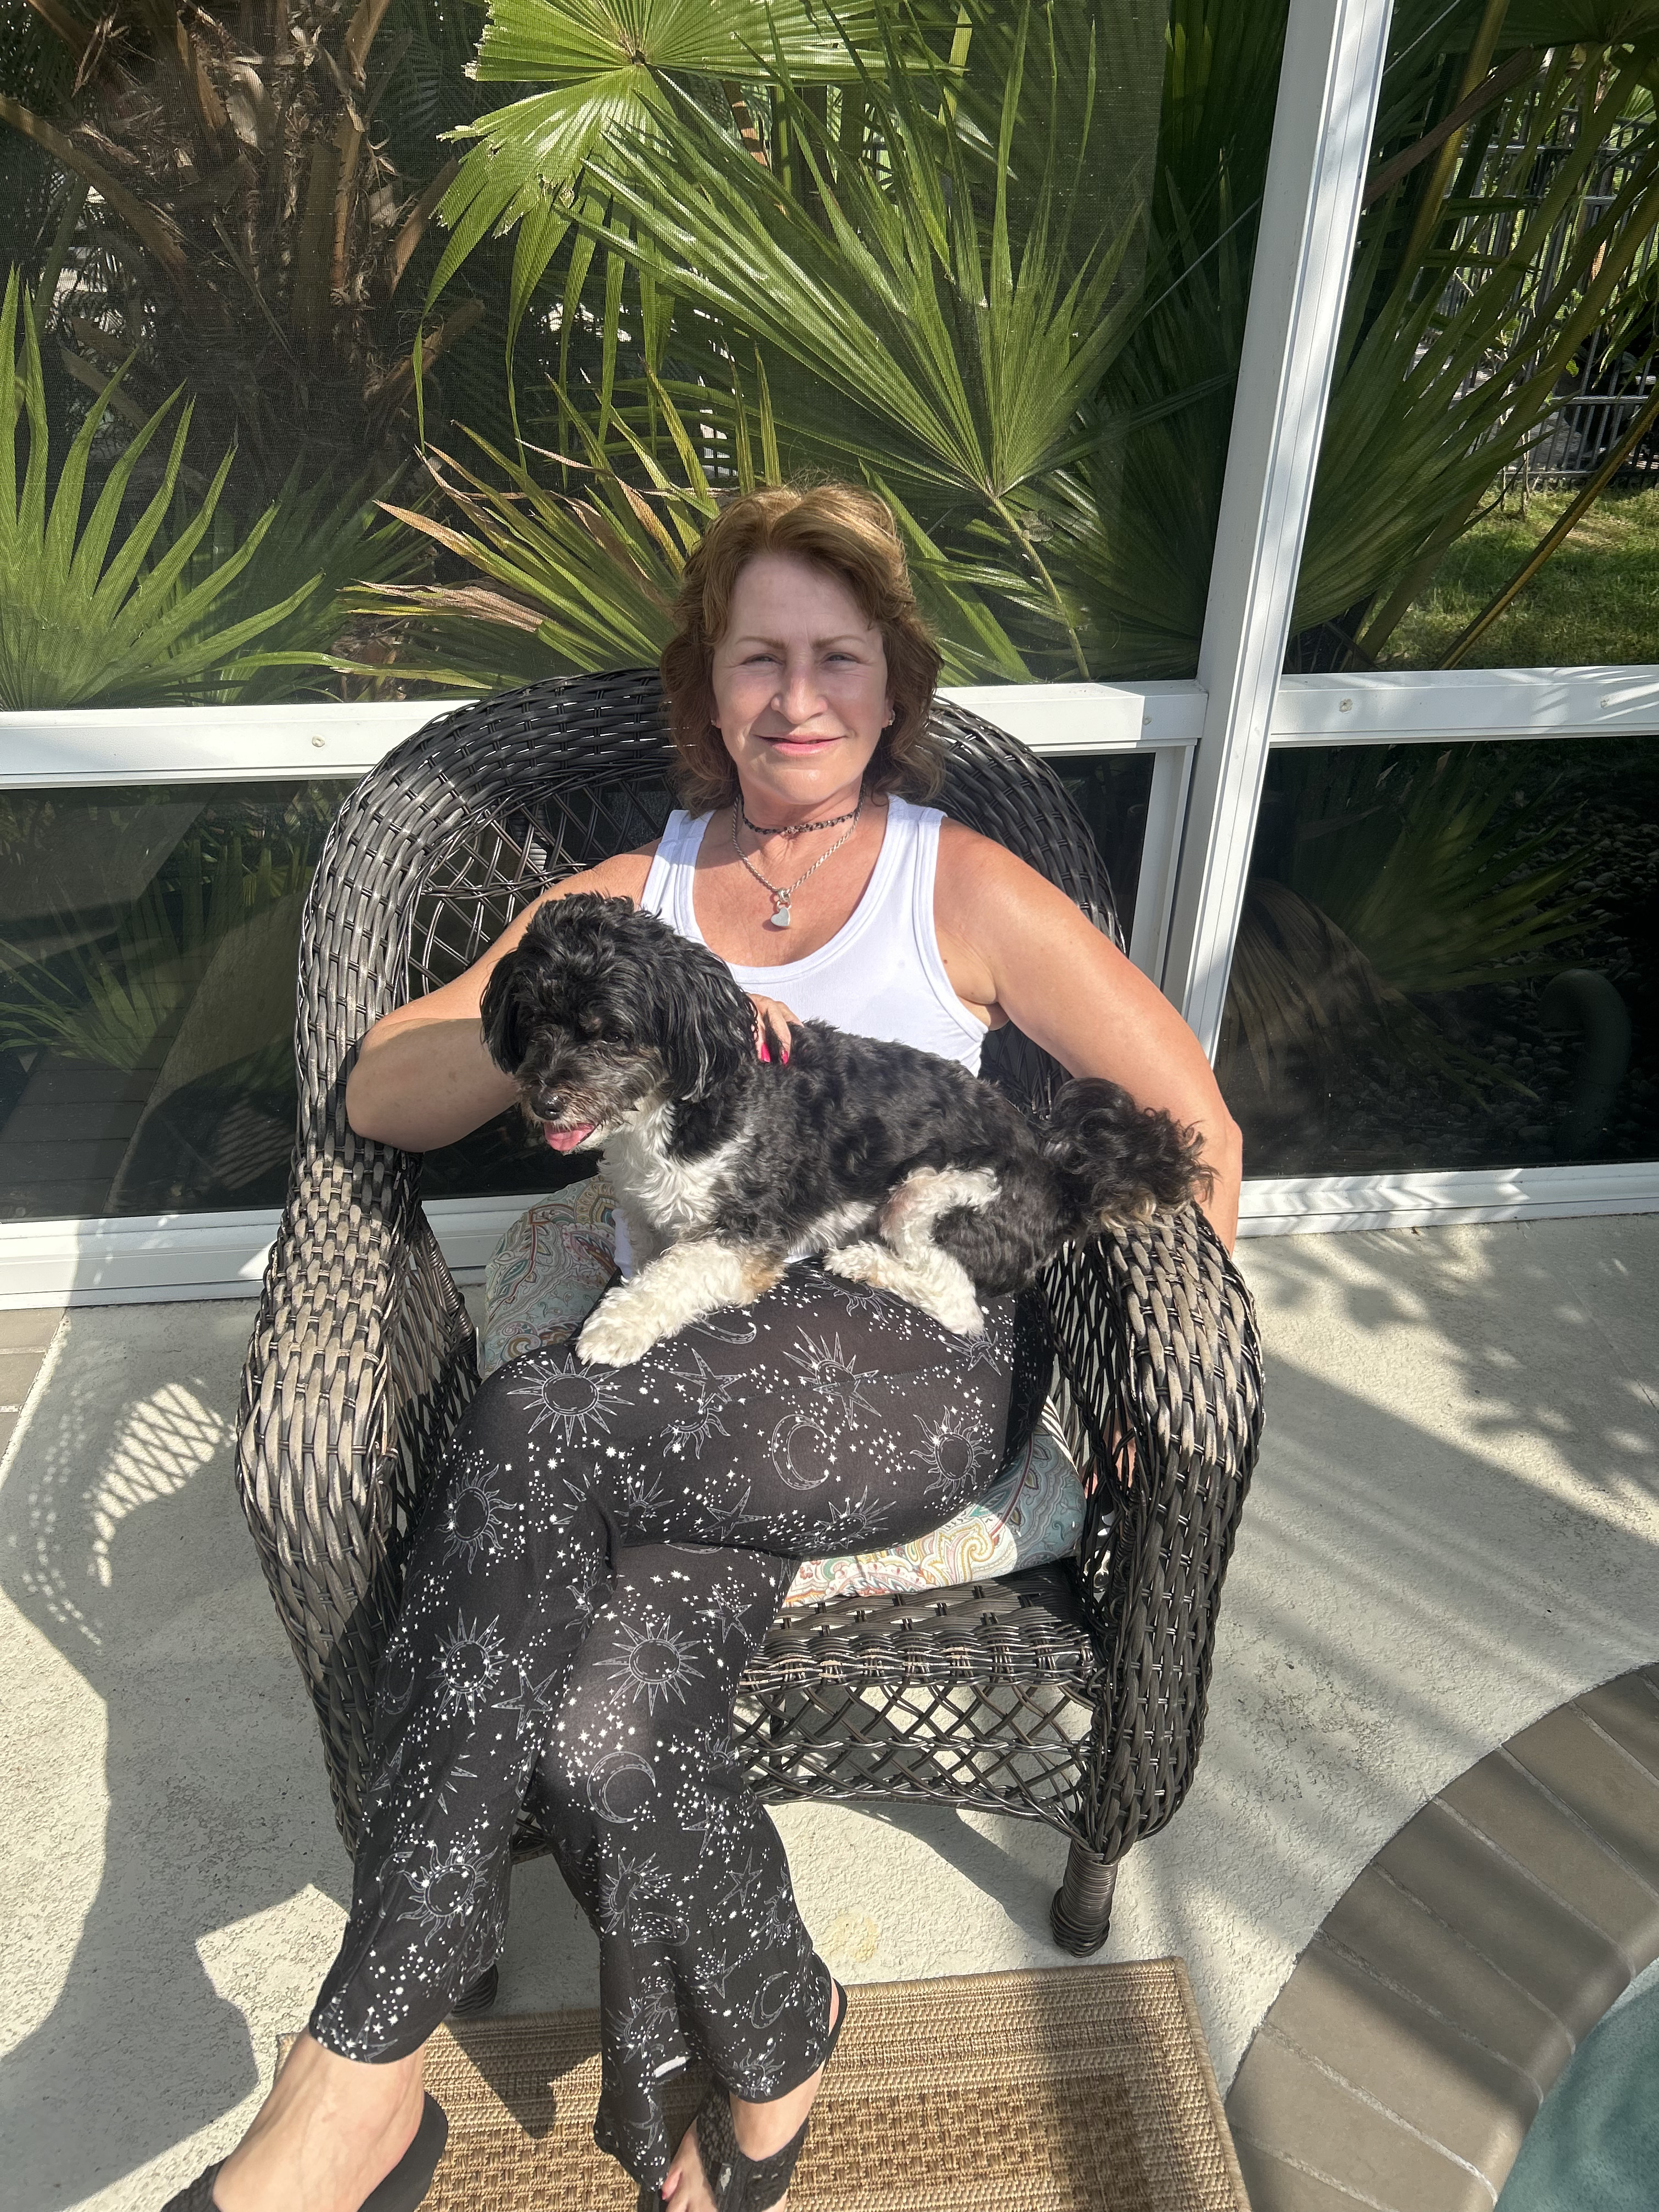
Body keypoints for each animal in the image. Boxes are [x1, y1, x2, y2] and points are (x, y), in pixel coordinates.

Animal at [479, 893, 1212, 1362]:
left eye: (612, 1034)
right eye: (534, 1019)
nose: (546, 1101)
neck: (672, 1114)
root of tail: (1060, 1179)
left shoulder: (745, 1233)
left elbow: (674, 1275)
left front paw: (616, 1328)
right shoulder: (643, 1215)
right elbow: (644, 1261)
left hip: (934, 1191)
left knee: (958, 1303)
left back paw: (866, 1261)